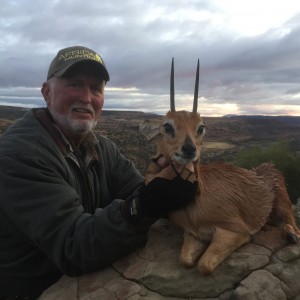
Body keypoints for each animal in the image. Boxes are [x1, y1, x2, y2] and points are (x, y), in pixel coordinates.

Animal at [139, 58, 298, 274]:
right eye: (167, 126)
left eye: (201, 127)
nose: (189, 149)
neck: (197, 202)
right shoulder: (194, 234)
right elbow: (186, 260)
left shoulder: (235, 231)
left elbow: (204, 265)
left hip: (282, 208)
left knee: (294, 226)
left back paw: (290, 235)